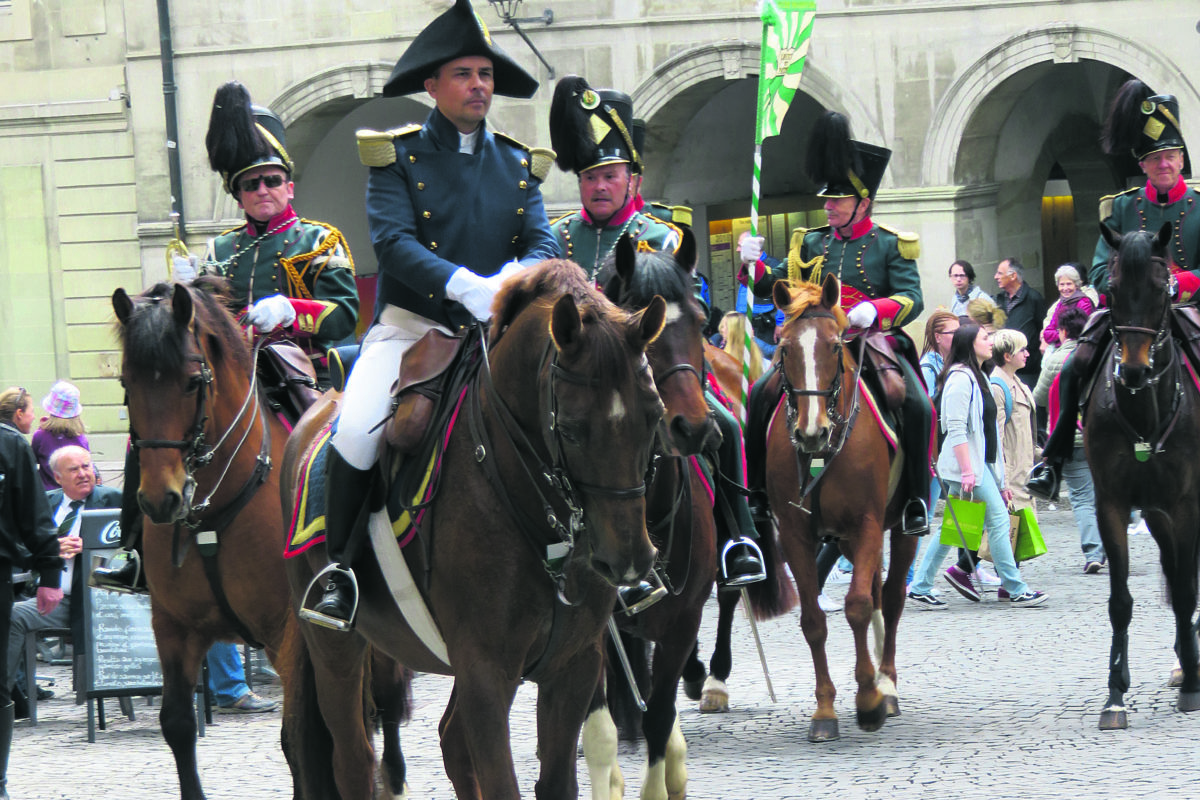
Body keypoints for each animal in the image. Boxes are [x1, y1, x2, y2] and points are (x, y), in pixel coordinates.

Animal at [115, 277, 410, 800]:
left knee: (386, 696)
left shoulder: (288, 631)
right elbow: (178, 727)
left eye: (191, 381)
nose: (160, 499)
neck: (213, 508)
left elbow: (298, 740)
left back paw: (392, 774)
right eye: (127, 383)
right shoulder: (172, 625)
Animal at [286, 262, 672, 800]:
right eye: (571, 428)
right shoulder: (486, 674)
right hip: (335, 646)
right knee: (355, 762)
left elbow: (555, 782)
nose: (629, 561)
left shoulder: (571, 667)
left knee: (450, 741)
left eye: (653, 417)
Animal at [763, 275, 912, 743]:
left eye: (832, 346)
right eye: (784, 348)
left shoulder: (866, 525)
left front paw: (868, 701)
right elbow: (813, 620)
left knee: (892, 596)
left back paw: (887, 684)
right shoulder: (796, 534)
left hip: (903, 526)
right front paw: (825, 710)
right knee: (880, 591)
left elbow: (859, 605)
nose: (812, 432)